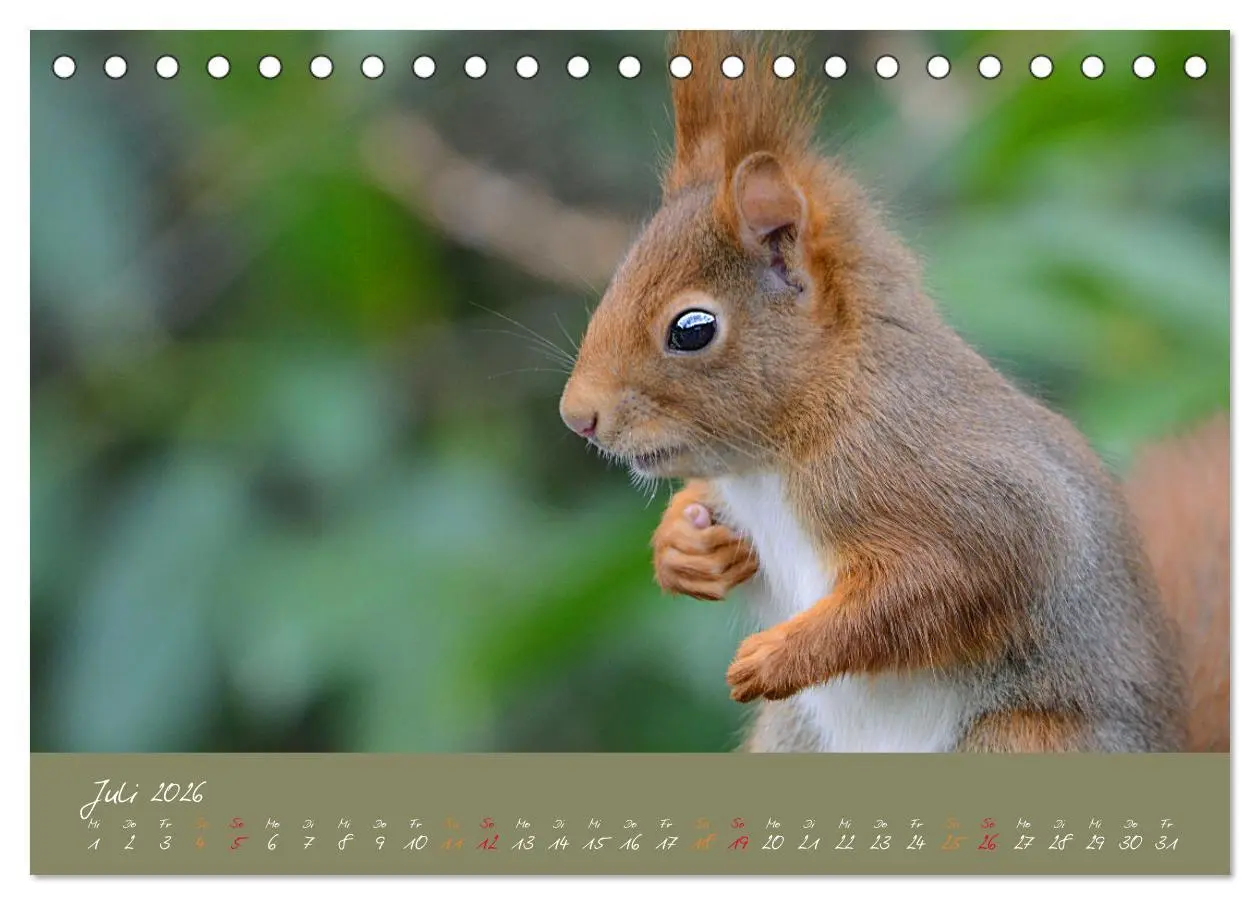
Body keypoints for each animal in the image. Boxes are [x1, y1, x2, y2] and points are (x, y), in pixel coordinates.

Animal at [558, 32, 1229, 753]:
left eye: (692, 329)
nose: (578, 416)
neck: (779, 456)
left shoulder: (957, 490)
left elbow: (938, 586)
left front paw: (780, 654)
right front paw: (684, 548)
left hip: (1021, 739)